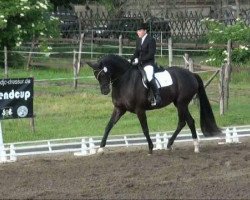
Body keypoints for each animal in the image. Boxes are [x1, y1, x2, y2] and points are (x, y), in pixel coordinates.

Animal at [87, 54, 220, 154]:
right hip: (179, 104)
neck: (125, 80)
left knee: (187, 122)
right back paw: (174, 145)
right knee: (185, 122)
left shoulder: (140, 110)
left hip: (182, 103)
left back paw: (193, 146)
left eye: (104, 73)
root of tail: (191, 74)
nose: (104, 91)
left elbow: (145, 129)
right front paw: (101, 148)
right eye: (95, 75)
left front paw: (150, 148)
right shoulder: (119, 109)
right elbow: (108, 126)